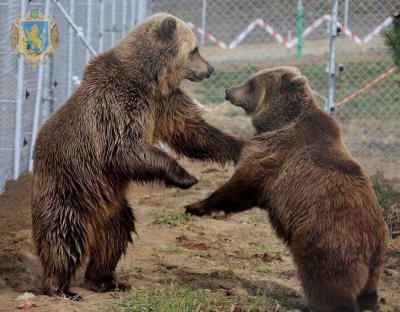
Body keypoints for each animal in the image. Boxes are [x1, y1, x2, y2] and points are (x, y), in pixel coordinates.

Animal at [31, 13, 244, 302]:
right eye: (195, 49)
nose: (210, 69)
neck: (150, 79)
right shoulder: (118, 105)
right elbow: (125, 148)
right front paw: (185, 176)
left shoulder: (164, 103)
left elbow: (192, 131)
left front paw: (239, 145)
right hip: (67, 189)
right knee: (64, 236)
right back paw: (60, 287)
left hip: (110, 204)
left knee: (115, 234)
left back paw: (106, 280)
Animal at [186, 67, 390, 312]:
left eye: (251, 83)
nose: (228, 90)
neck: (278, 121)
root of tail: (373, 242)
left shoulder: (272, 155)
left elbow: (241, 186)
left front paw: (196, 206)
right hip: (374, 268)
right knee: (367, 294)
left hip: (328, 245)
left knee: (328, 285)